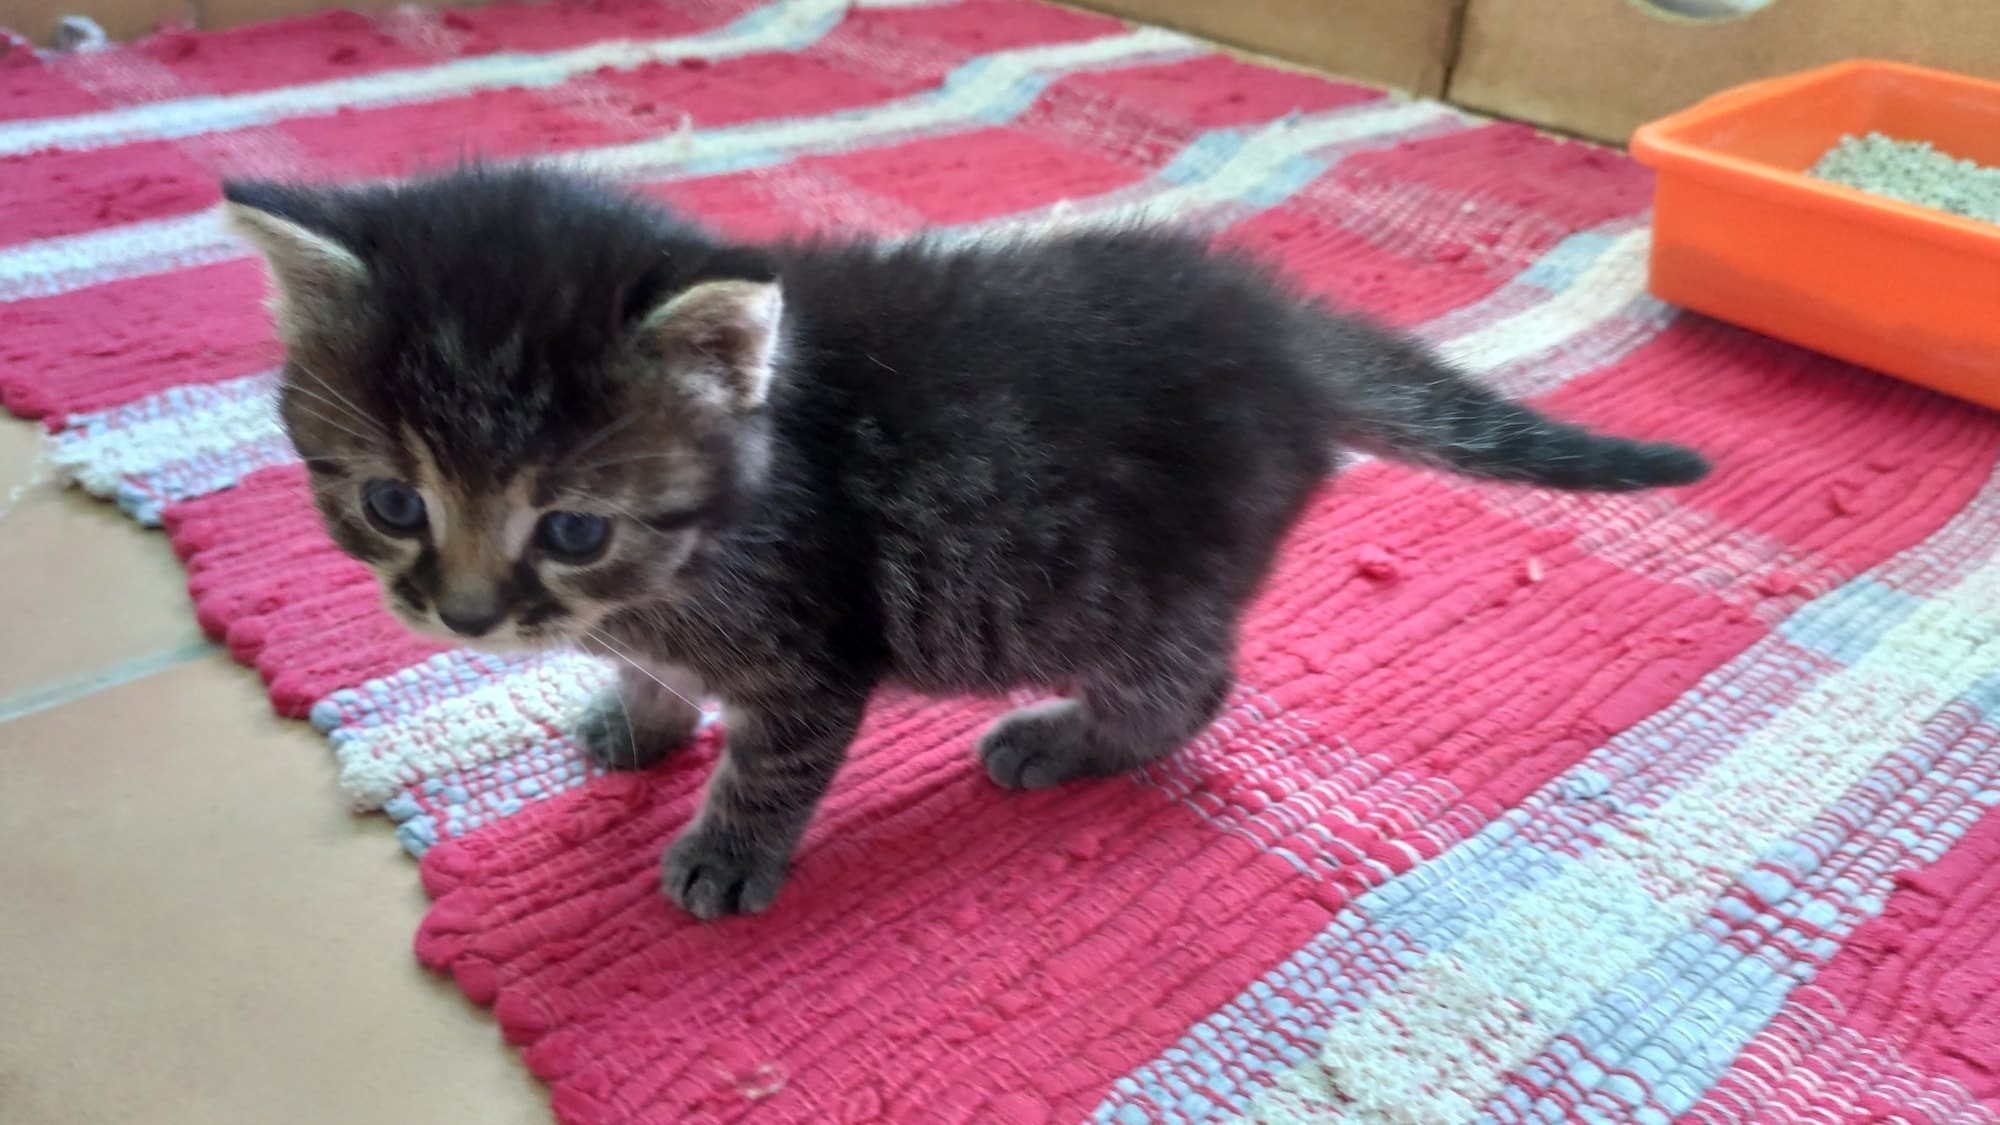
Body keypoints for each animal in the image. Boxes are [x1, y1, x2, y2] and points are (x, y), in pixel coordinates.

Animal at [223, 164, 1708, 919]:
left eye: (572, 526)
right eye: (393, 502)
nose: (465, 617)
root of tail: (1278, 329)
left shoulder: (814, 651)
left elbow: (771, 768)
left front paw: (725, 850)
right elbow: (645, 674)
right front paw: (634, 715)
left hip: (1138, 593)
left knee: (1190, 688)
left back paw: (1063, 740)